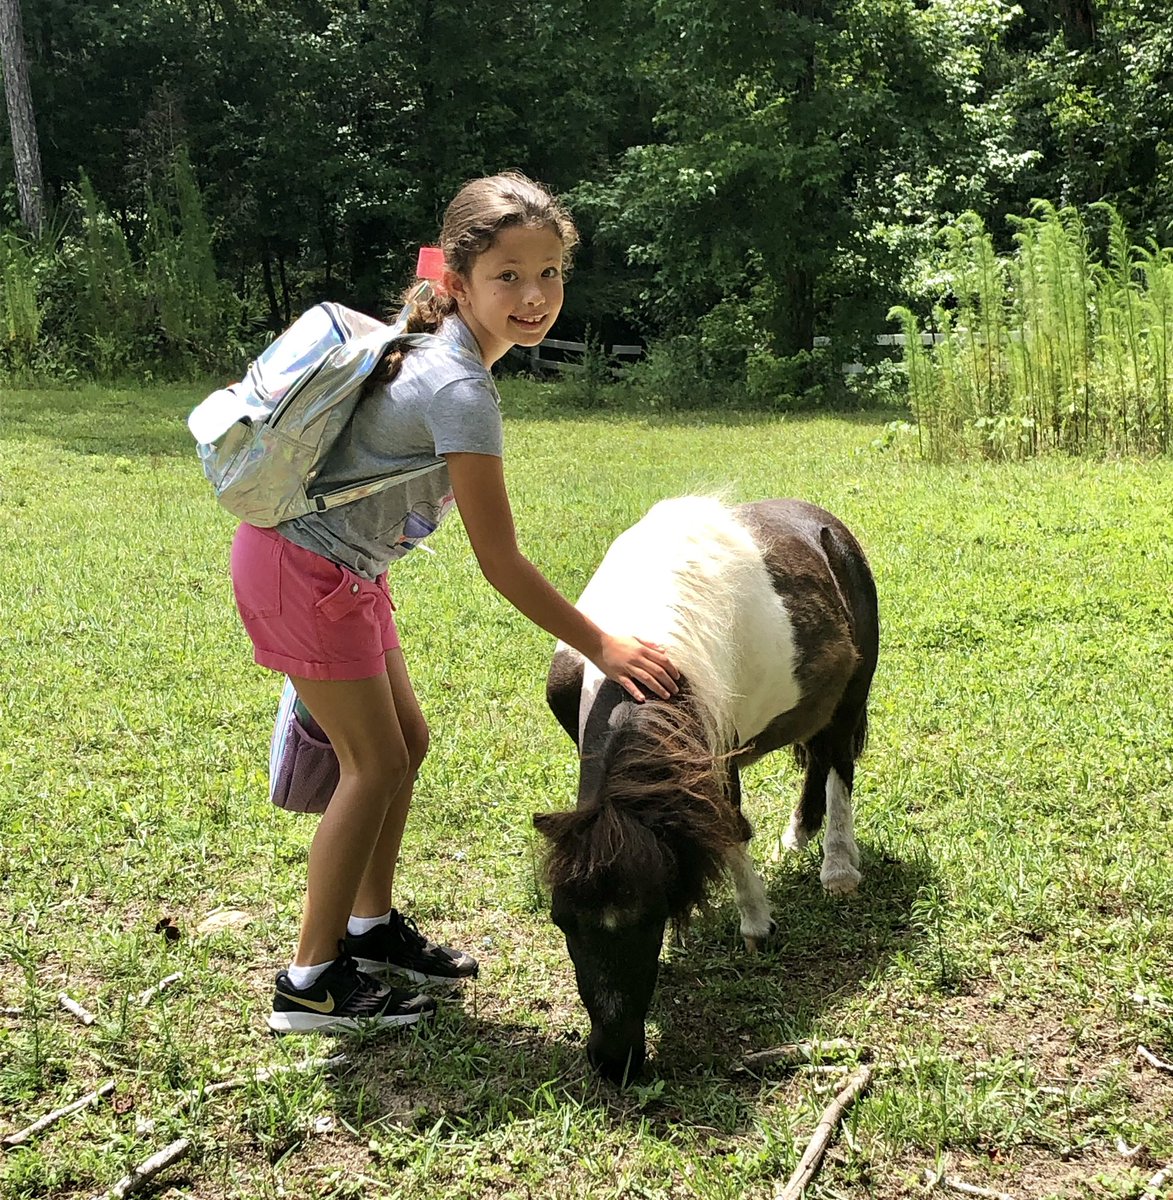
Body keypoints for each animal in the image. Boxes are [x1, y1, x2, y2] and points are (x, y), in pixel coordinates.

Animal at [533, 496, 879, 1083]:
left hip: (853, 691)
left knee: (836, 763)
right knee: (818, 753)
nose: (615, 1061)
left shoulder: (718, 747)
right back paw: (798, 834)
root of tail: (826, 525)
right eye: (562, 920)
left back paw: (837, 867)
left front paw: (755, 924)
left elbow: (728, 826)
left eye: (648, 917)